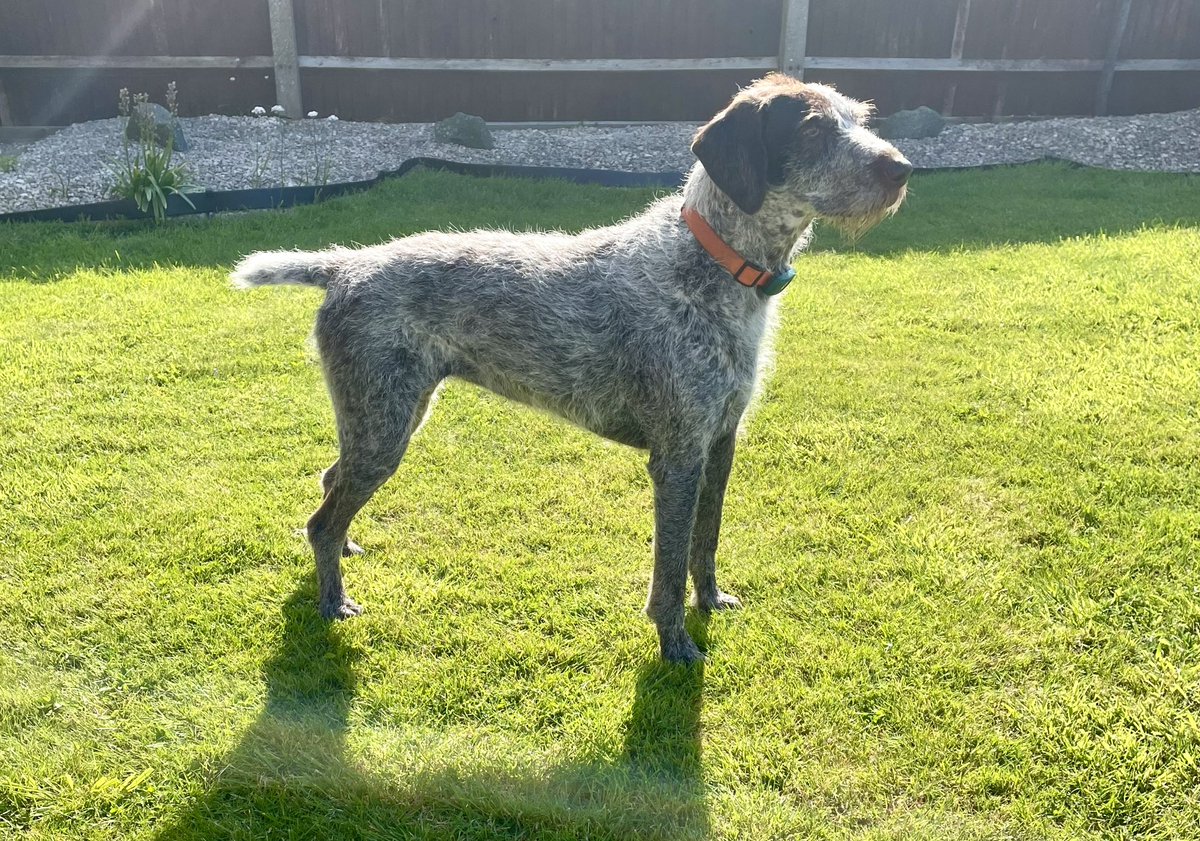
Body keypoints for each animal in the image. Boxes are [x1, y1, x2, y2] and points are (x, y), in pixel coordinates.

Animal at [231, 73, 907, 662]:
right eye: (814, 130)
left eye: (860, 119)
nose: (900, 169)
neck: (713, 261)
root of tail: (344, 266)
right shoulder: (678, 458)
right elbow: (668, 571)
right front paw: (676, 645)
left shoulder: (719, 443)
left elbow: (705, 543)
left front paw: (710, 600)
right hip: (383, 429)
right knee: (321, 519)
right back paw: (333, 598)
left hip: (385, 420)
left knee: (330, 482)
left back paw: (346, 544)